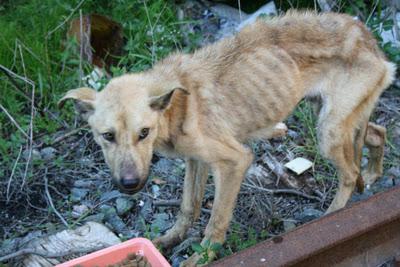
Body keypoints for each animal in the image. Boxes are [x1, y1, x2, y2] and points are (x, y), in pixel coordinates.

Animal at [61, 11, 396, 267]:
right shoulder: (195, 160)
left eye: (144, 133)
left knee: (349, 173)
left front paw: (200, 258)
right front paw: (169, 240)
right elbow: (188, 207)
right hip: (336, 116)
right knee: (377, 134)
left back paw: (331, 217)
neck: (176, 104)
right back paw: (372, 173)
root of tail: (368, 38)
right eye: (107, 136)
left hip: (328, 131)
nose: (130, 185)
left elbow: (216, 221)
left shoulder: (235, 161)